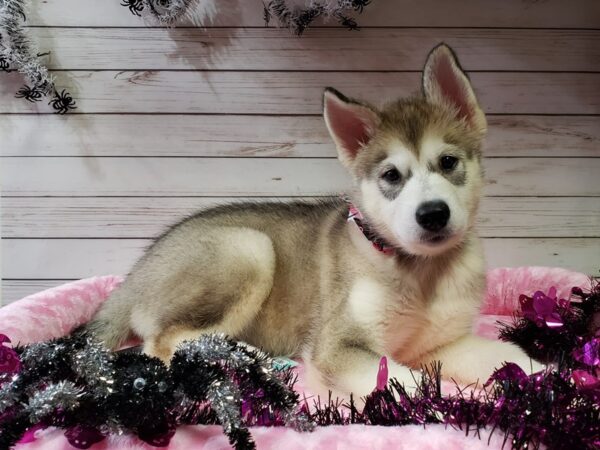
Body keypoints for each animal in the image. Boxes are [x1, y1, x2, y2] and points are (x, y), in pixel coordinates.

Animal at [90, 44, 544, 398]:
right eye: (391, 176)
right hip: (248, 249)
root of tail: (135, 276)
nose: (432, 214)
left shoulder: (443, 345)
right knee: (161, 344)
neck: (422, 274)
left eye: (448, 162)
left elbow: (511, 357)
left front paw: (549, 383)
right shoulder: (338, 346)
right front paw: (451, 407)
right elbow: (408, 384)